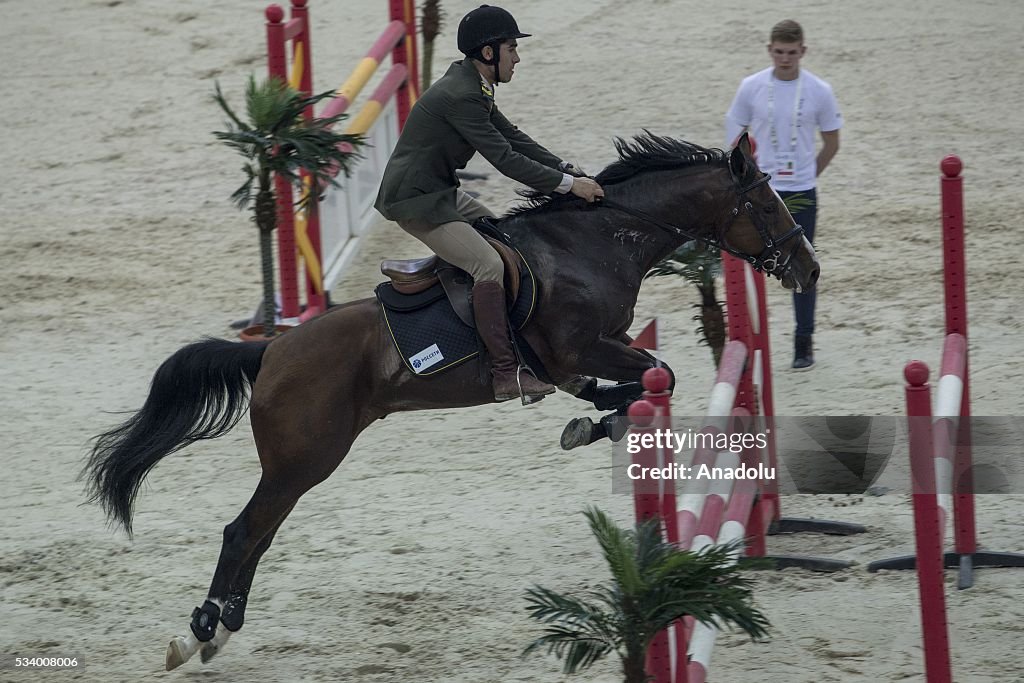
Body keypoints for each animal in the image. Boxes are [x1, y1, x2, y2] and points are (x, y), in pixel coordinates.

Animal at [81, 131, 815, 671]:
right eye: (768, 207)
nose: (808, 269)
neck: (597, 240)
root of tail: (272, 351)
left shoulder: (584, 356)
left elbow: (637, 382)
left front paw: (591, 420)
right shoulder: (579, 348)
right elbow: (657, 372)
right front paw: (594, 420)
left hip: (299, 465)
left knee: (259, 535)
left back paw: (222, 629)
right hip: (304, 458)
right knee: (243, 532)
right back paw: (199, 632)